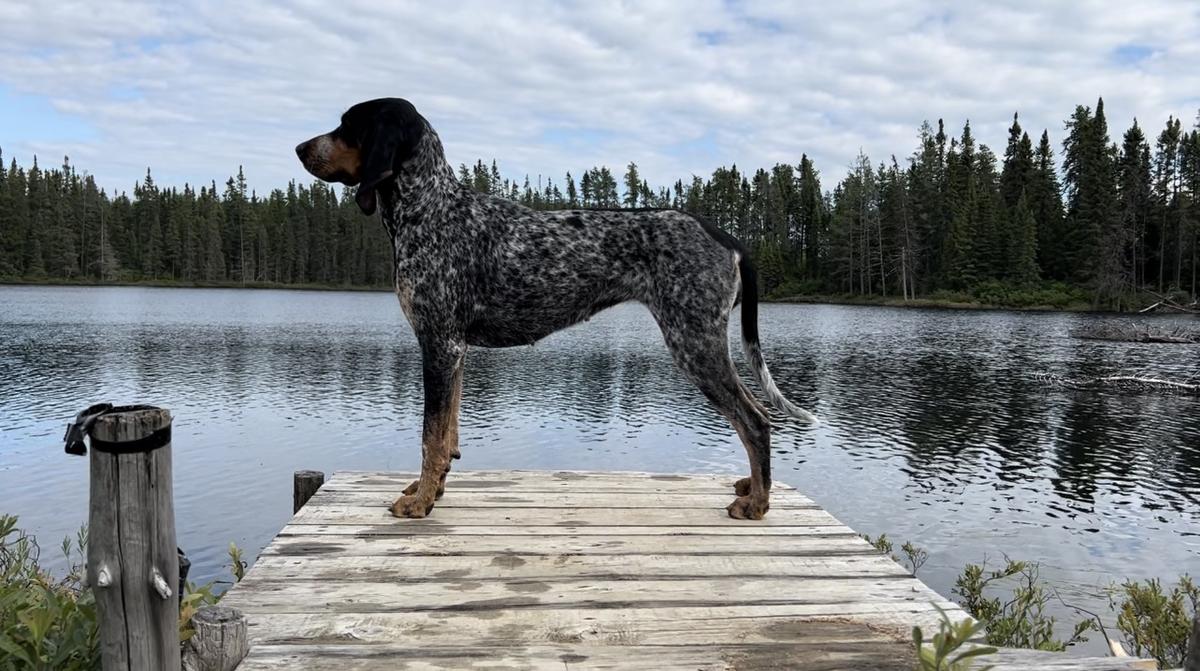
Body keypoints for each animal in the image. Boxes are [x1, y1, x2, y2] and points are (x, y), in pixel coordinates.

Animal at [296, 97, 816, 523]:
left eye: (349, 125)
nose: (300, 148)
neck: (430, 210)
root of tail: (724, 235)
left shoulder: (439, 346)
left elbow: (431, 437)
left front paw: (420, 502)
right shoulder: (454, 352)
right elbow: (448, 437)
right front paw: (432, 490)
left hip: (695, 345)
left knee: (756, 422)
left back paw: (758, 503)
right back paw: (753, 487)